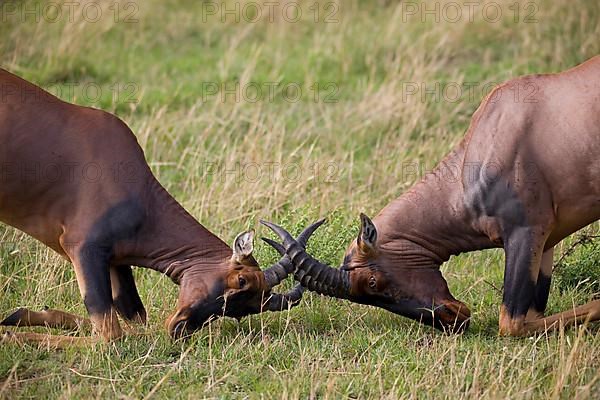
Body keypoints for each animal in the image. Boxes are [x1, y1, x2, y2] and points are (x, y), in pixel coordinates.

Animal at [0, 69, 318, 346]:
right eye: (241, 280)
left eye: (248, 309)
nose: (180, 329)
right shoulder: (83, 249)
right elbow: (110, 335)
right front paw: (10, 334)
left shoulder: (114, 259)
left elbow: (135, 321)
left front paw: (17, 317)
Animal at [262, 56, 600, 336]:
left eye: (372, 282)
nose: (452, 319)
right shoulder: (547, 240)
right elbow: (533, 313)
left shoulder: (525, 231)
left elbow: (511, 323)